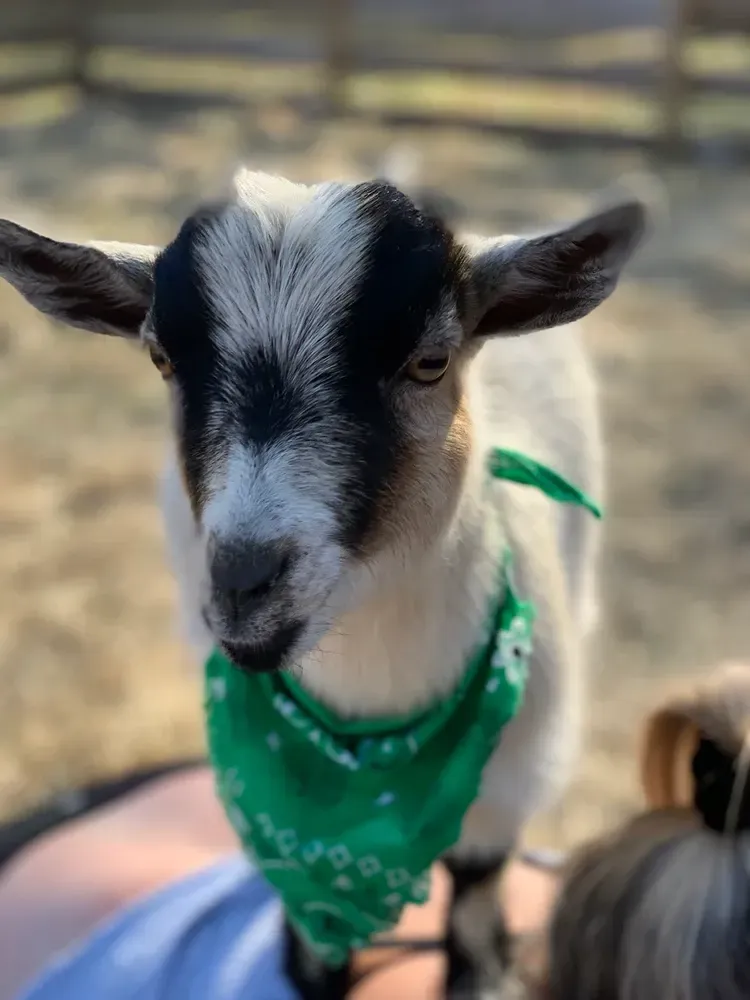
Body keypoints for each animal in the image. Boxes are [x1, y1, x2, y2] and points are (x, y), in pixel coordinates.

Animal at [0, 170, 646, 999]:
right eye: (160, 358)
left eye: (431, 361)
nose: (243, 582)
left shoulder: (509, 789)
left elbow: (475, 899)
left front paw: (487, 969)